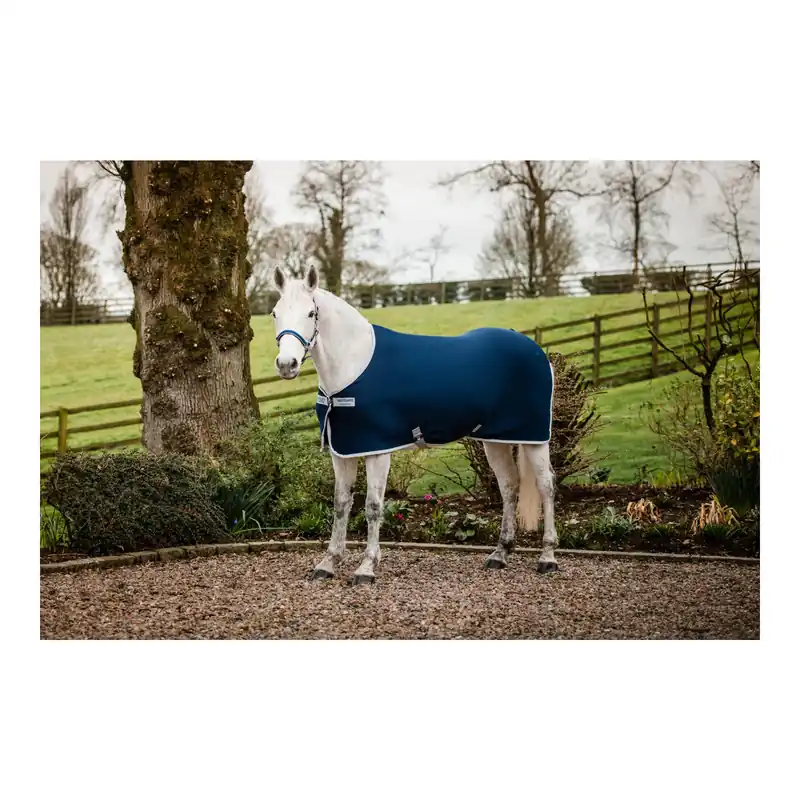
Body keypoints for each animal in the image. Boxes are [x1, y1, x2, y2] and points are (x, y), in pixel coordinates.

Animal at [270, 263, 558, 584]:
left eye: (311, 313)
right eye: (275, 313)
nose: (287, 364)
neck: (353, 364)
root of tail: (536, 350)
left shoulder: (377, 451)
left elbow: (372, 507)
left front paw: (367, 567)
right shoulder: (342, 450)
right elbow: (341, 504)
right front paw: (328, 562)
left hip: (535, 438)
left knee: (546, 485)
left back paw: (548, 557)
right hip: (495, 440)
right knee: (509, 485)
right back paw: (500, 553)